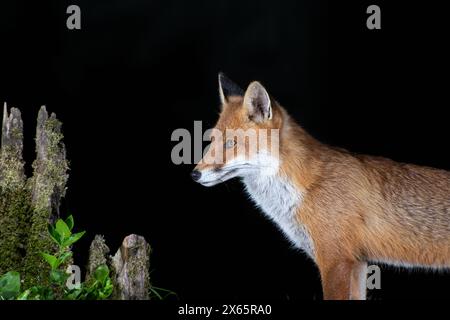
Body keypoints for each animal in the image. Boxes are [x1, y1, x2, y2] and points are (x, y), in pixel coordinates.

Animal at [191, 73, 450, 300]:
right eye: (212, 141)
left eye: (230, 143)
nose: (194, 174)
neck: (304, 187)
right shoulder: (357, 262)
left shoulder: (335, 260)